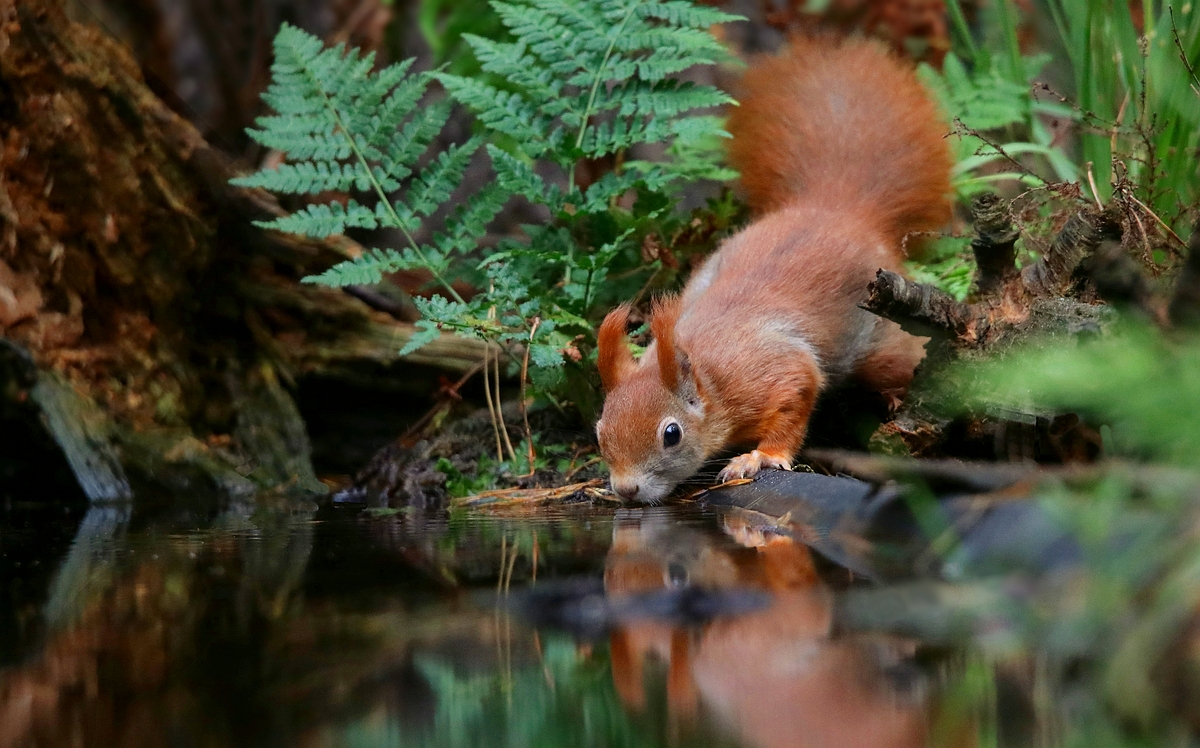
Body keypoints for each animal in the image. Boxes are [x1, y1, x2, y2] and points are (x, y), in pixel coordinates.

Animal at [595, 33, 950, 504]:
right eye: (599, 430)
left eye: (671, 434)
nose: (627, 489)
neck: (708, 375)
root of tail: (836, 208)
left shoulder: (775, 371)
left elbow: (794, 400)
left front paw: (760, 457)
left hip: (880, 338)